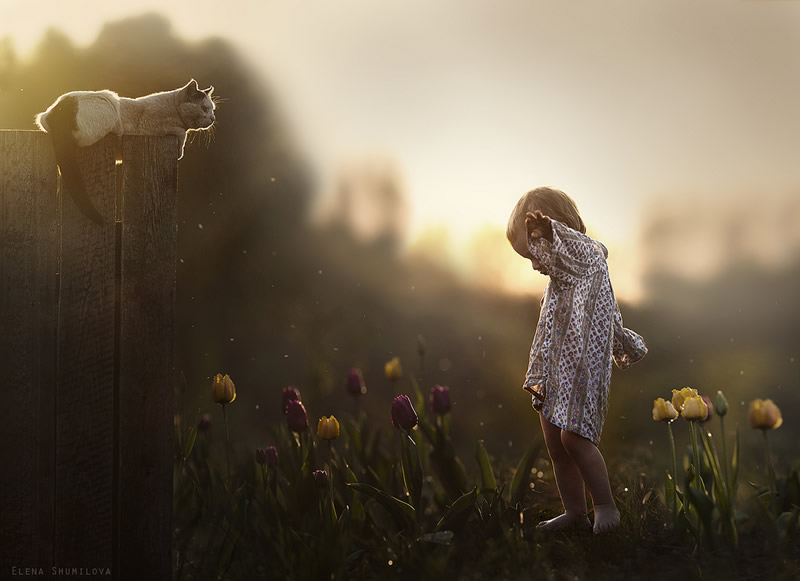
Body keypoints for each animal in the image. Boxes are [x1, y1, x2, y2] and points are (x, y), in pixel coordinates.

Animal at [36, 81, 216, 224]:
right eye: (204, 108)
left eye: (213, 110)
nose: (213, 118)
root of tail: (62, 108)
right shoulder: (156, 126)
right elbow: (181, 134)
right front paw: (180, 150)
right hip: (108, 103)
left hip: (44, 118)